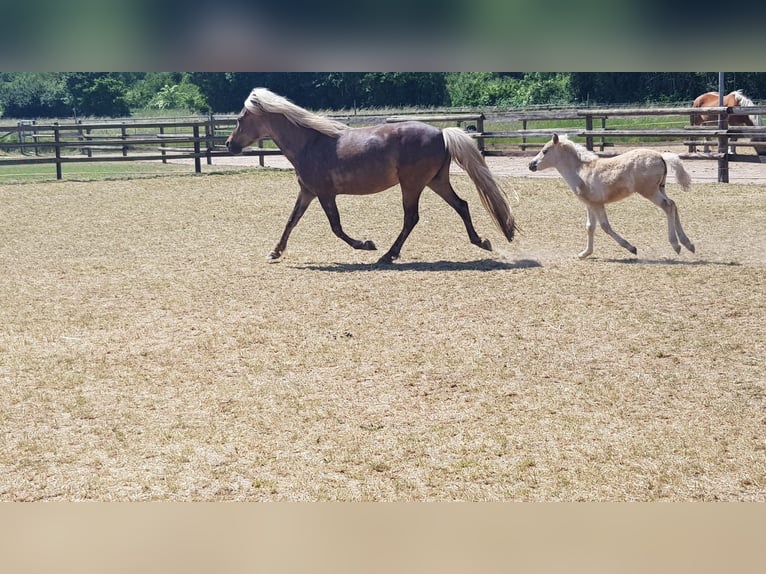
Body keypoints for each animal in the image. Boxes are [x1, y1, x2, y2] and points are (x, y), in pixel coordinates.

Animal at [225, 88, 516, 264]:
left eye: (239, 119)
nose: (229, 145)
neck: (310, 143)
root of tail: (441, 133)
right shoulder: (307, 192)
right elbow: (291, 221)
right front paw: (275, 251)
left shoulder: (325, 194)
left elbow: (336, 227)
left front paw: (366, 244)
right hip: (436, 181)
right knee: (461, 205)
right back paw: (481, 241)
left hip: (412, 185)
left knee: (412, 218)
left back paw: (388, 255)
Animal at [528, 134, 695, 259]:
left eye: (545, 151)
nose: (531, 165)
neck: (581, 171)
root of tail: (660, 156)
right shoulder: (589, 204)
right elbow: (590, 227)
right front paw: (584, 253)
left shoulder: (597, 204)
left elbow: (605, 226)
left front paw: (631, 248)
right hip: (660, 188)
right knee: (673, 205)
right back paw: (688, 244)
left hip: (650, 192)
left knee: (668, 206)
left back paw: (676, 245)